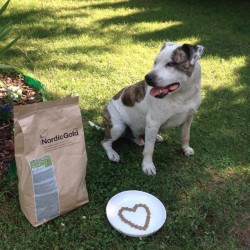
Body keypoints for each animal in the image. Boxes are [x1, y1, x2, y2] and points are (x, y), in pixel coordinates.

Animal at [97, 42, 203, 175]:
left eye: (171, 64)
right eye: (155, 62)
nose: (148, 78)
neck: (183, 96)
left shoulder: (188, 119)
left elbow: (185, 136)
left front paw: (186, 149)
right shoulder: (153, 122)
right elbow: (149, 149)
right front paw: (147, 166)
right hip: (117, 126)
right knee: (105, 142)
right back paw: (112, 154)